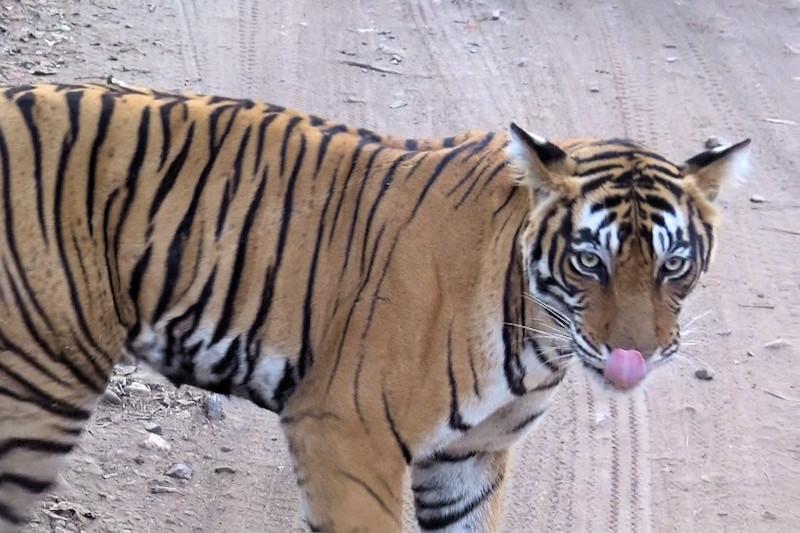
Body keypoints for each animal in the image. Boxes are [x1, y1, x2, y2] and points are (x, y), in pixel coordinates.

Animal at [0, 82, 750, 532]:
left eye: (673, 264)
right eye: (590, 261)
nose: (636, 355)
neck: (541, 340)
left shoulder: (469, 459)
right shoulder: (346, 431)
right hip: (37, 386)